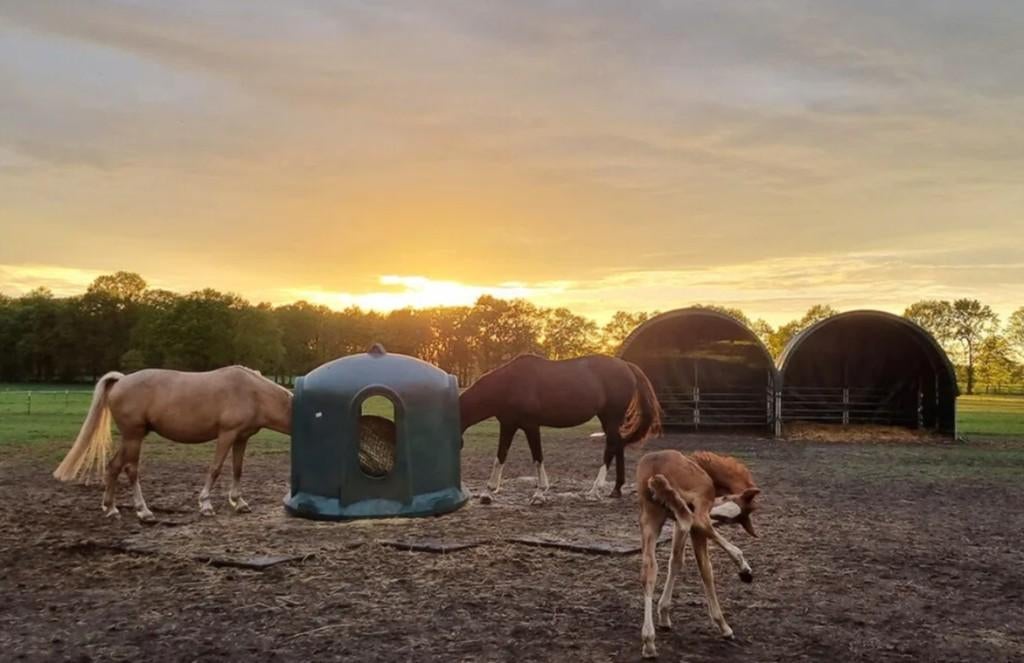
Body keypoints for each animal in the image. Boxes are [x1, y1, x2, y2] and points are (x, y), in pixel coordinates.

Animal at [53, 366, 293, 522]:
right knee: (131, 469)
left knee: (113, 467)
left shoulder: (241, 438)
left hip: (131, 438)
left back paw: (111, 509)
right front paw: (205, 504)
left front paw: (239, 503)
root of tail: (121, 381)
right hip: (134, 436)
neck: (253, 393)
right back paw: (143, 511)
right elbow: (215, 469)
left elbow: (238, 469)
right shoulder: (227, 434)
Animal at [459, 354, 661, 503]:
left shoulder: (531, 426)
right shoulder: (508, 425)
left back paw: (594, 491)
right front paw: (488, 492)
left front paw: (540, 493)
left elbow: (537, 457)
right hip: (609, 419)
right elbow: (500, 456)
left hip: (610, 417)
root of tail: (626, 365)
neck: (509, 384)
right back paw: (616, 489)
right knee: (618, 445)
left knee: (611, 446)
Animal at [636, 450, 761, 658]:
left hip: (650, 518)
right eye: (728, 499)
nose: (717, 515)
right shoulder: (698, 511)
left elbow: (676, 561)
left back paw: (648, 641)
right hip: (694, 507)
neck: (705, 467)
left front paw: (664, 615)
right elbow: (705, 570)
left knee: (649, 571)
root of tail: (655, 470)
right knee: (696, 521)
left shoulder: (676, 522)